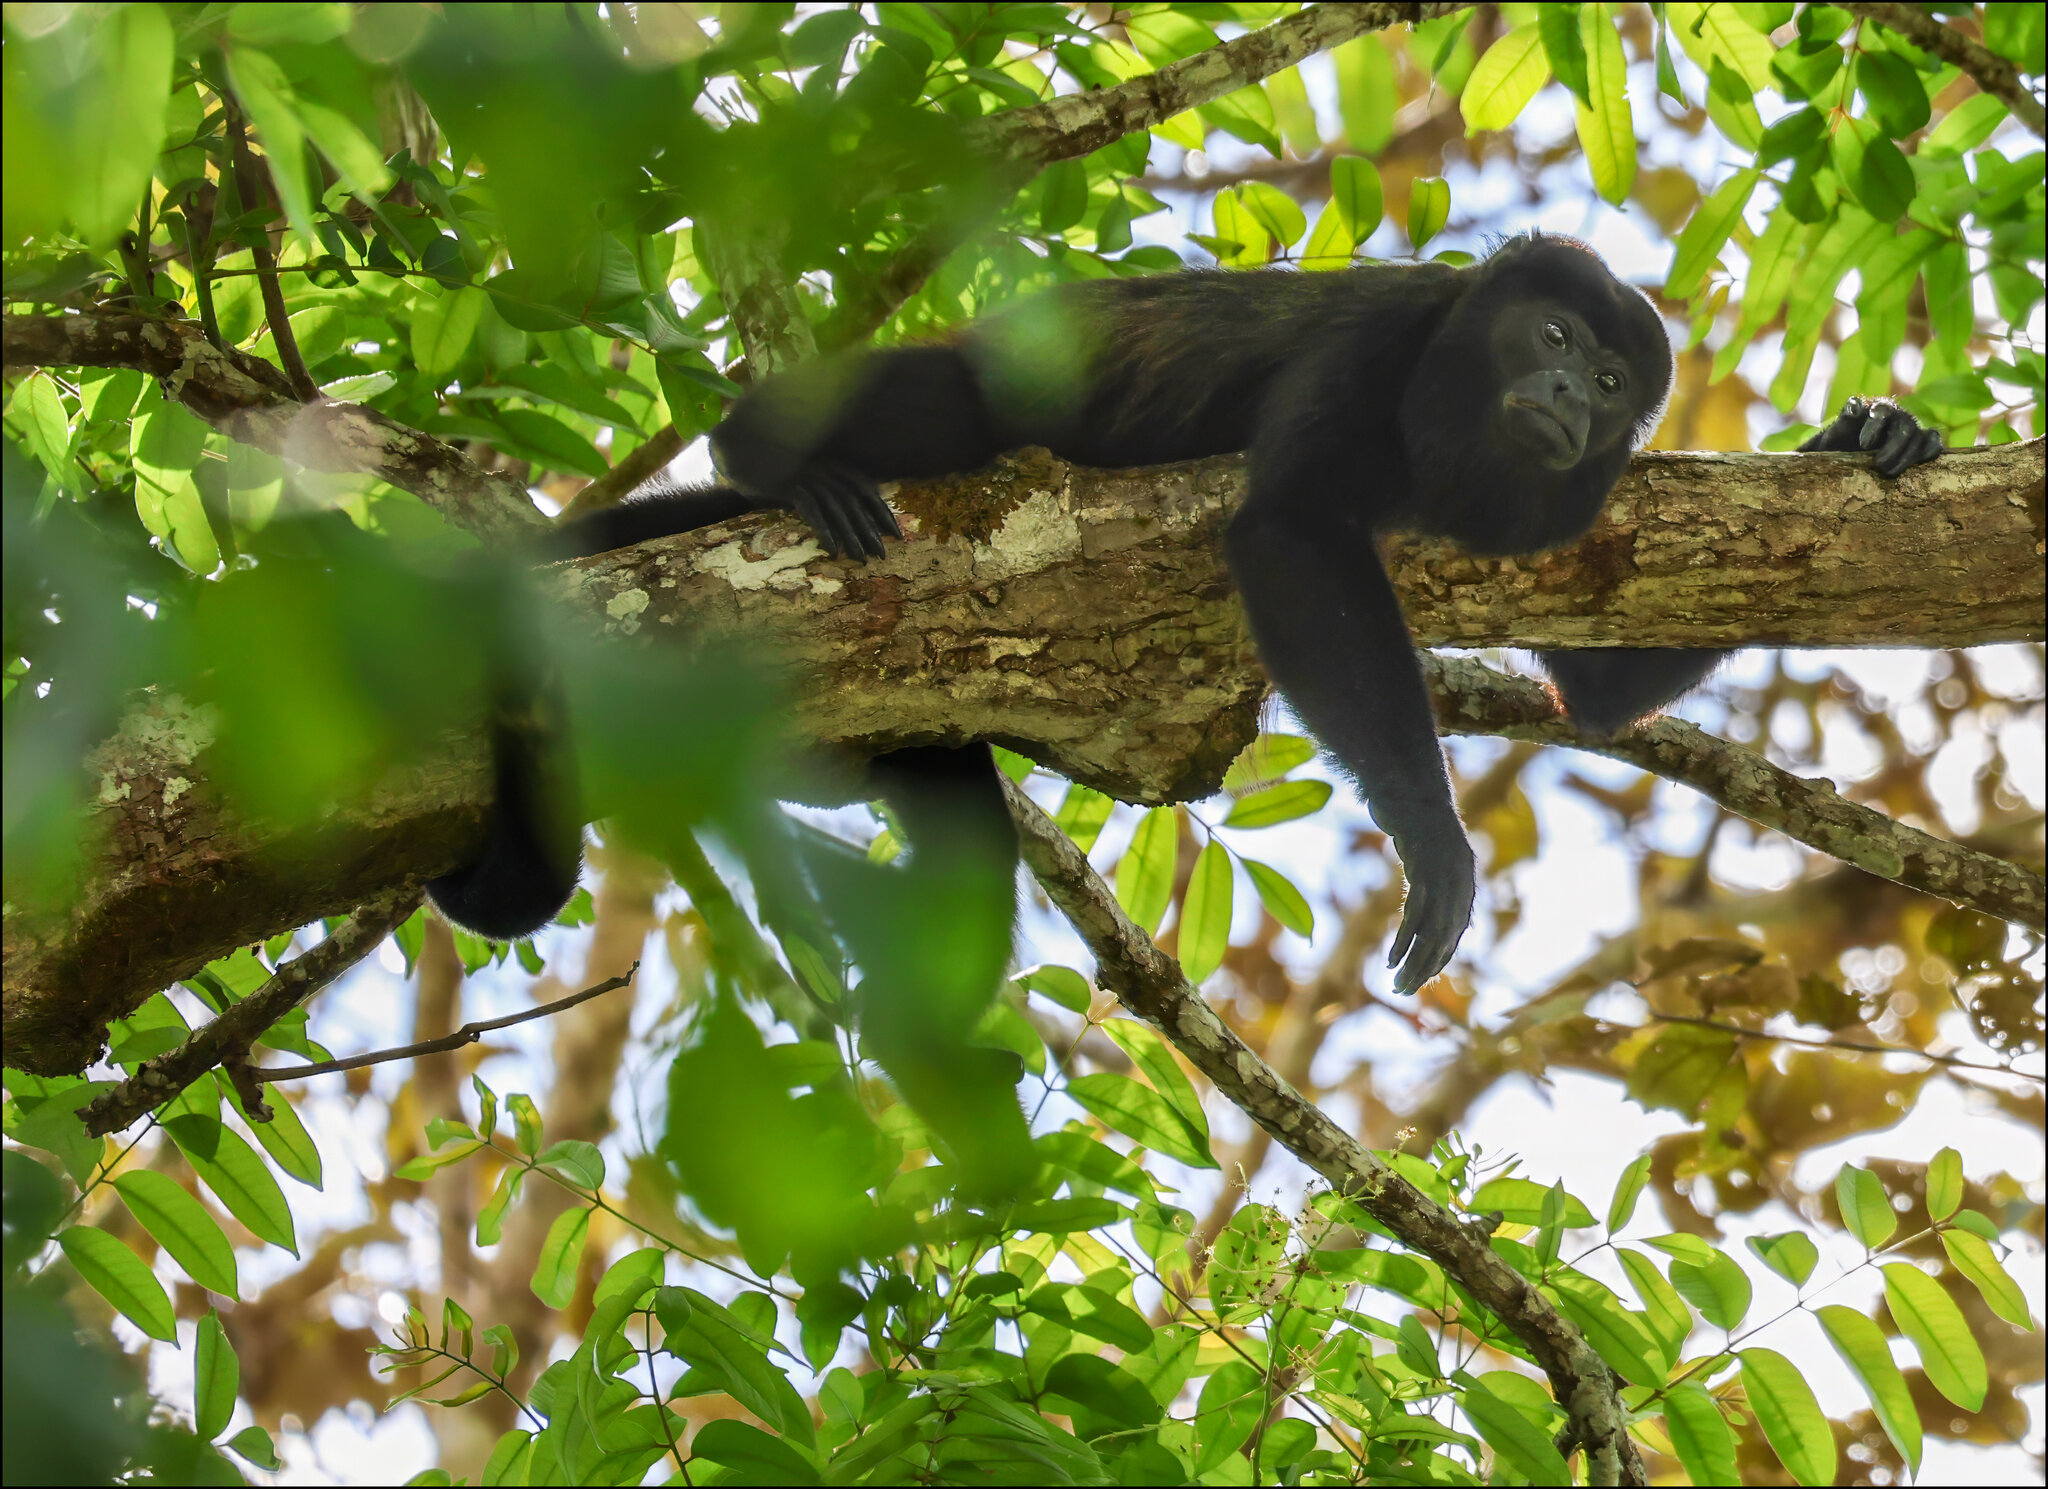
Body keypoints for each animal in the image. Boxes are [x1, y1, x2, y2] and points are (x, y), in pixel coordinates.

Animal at [428, 238, 1933, 995]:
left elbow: (1597, 690)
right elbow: (1285, 533)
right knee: (943, 404)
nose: (1570, 400)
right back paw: (778, 462)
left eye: (1616, 381)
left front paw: (1865, 434)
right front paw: (1434, 841)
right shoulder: (1377, 343)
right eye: (1553, 341)